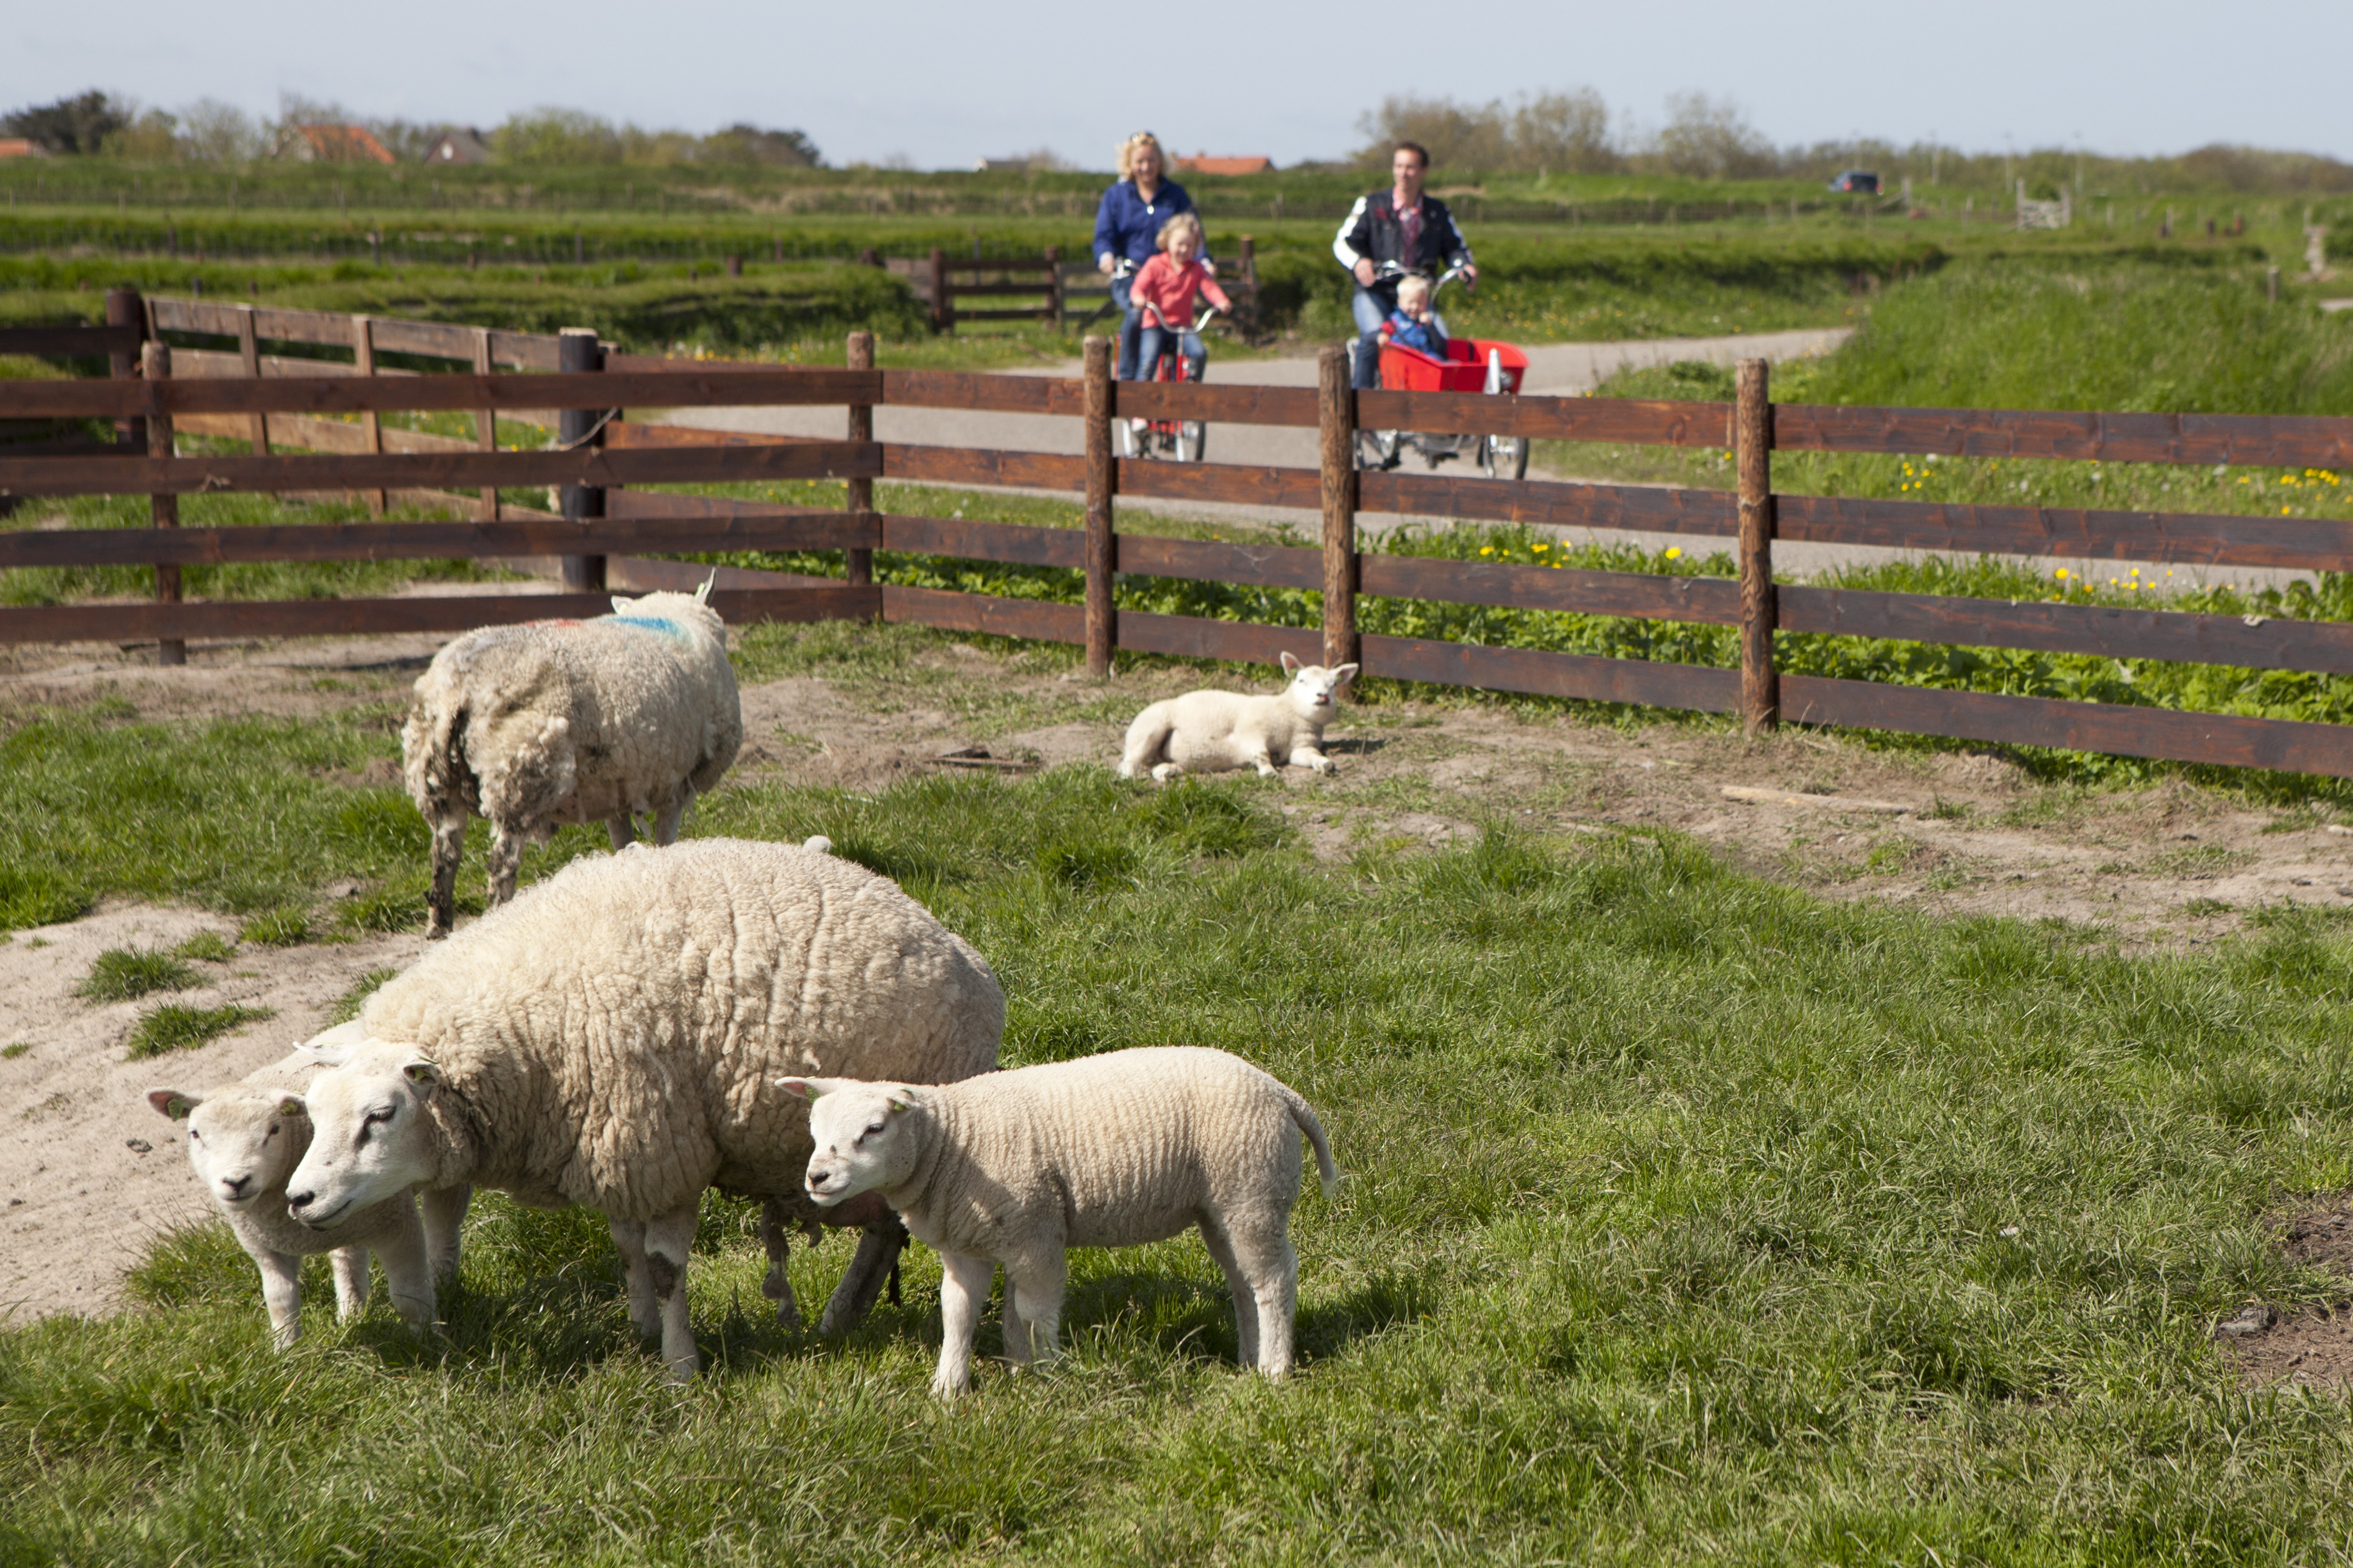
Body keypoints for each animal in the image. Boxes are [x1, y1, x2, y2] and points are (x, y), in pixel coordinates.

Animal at [146, 1078, 435, 1347]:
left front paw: (425, 1341)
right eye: (195, 1134)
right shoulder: (265, 1247)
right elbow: (280, 1302)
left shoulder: (397, 1221)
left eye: (274, 1130)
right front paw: (287, 1354)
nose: (236, 1182)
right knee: (348, 1258)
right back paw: (350, 1315)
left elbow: (409, 1295)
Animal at [281, 836, 1004, 1381]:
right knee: (886, 1231)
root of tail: (956, 945)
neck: (525, 1029)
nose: (300, 1198)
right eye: (314, 1112)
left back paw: (840, 1312)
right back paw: (843, 1316)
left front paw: (680, 1366)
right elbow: (627, 1248)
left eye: (381, 1114)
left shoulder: (660, 1146)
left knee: (888, 1230)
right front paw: (639, 1329)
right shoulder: (615, 1144)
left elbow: (664, 1267)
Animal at [403, 581, 744, 940]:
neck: (669, 617)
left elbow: (623, 845)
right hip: (518, 777)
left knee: (444, 863)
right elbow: (666, 845)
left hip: (435, 781)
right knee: (501, 866)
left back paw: (439, 934)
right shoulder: (674, 786)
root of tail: (458, 688)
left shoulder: (616, 788)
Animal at [783, 1045, 1341, 1398]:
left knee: (1275, 1279)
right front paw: (950, 1389)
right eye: (813, 1129)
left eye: (875, 1129)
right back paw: (1248, 1361)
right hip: (1220, 1205)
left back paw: (1275, 1369)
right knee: (1244, 1282)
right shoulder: (969, 1245)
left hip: (1253, 1189)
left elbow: (1032, 1311)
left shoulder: (1036, 1232)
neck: (952, 1145)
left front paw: (1045, 1374)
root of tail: (1280, 1090)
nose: (817, 1177)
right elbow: (958, 1313)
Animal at [1117, 652, 1359, 782]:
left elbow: (1311, 756)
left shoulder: (1300, 747)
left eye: (1334, 684)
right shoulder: (1250, 730)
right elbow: (1262, 754)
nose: (1323, 696)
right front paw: (1269, 772)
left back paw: (1166, 773)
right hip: (1149, 729)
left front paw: (1326, 765)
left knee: (1158, 768)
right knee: (1129, 761)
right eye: (1301, 680)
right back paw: (1128, 779)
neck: (1290, 716)